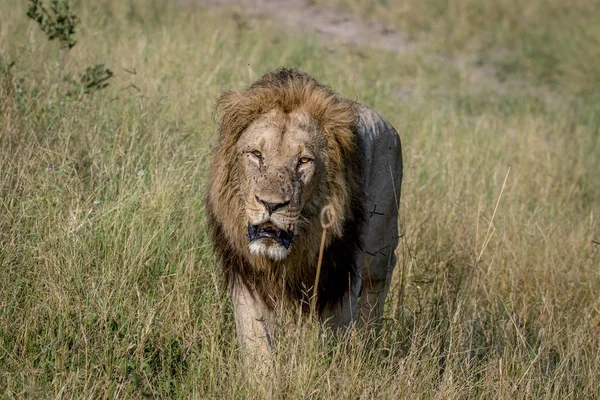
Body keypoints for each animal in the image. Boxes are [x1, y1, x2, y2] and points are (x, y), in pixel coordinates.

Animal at [207, 69, 404, 356]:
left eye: (303, 161)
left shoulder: (341, 277)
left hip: (380, 252)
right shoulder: (246, 276)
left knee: (376, 289)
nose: (271, 204)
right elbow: (257, 342)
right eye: (256, 154)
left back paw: (369, 342)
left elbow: (334, 338)